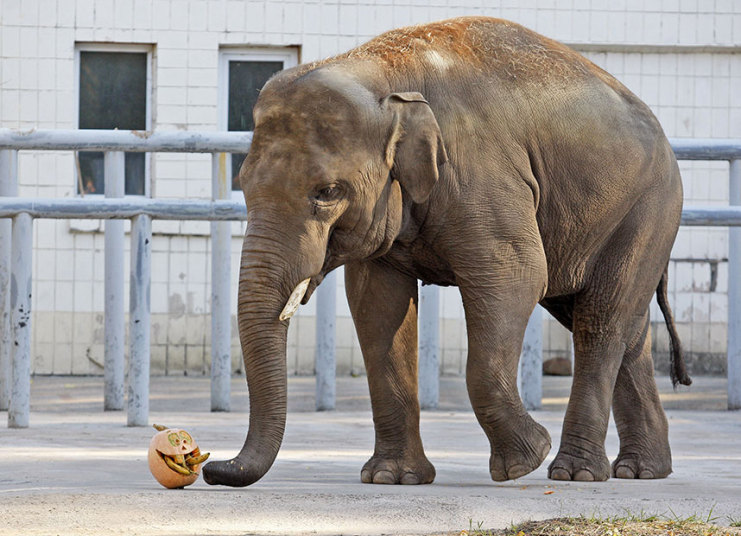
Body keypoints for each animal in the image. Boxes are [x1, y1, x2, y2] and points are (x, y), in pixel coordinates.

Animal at [201, 16, 688, 488]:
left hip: (647, 210)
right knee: (625, 330)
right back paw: (642, 470)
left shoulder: (484, 175)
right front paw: (391, 478)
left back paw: (576, 472)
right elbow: (376, 304)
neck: (382, 73)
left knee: (600, 321)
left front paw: (525, 460)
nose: (211, 467)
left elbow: (517, 277)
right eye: (243, 185)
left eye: (328, 192)